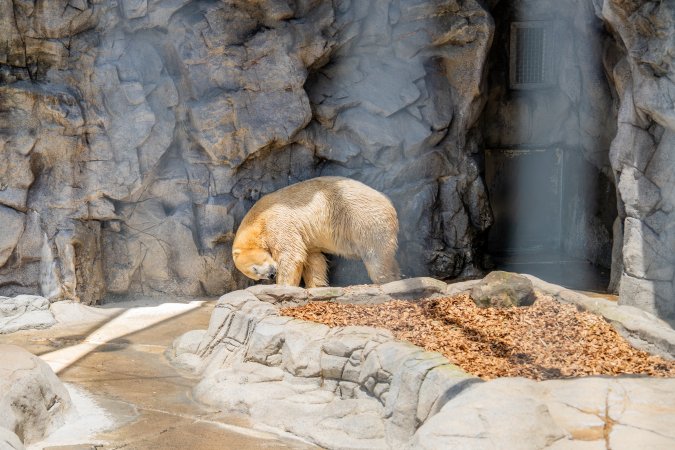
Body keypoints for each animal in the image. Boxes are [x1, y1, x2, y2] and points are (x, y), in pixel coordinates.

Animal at [232, 176, 400, 287]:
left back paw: (387, 279)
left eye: (254, 268)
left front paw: (284, 286)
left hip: (363, 218)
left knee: (376, 256)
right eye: (256, 275)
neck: (256, 219)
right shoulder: (307, 240)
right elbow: (313, 259)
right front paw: (317, 285)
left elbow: (290, 254)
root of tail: (387, 202)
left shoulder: (276, 221)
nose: (271, 274)